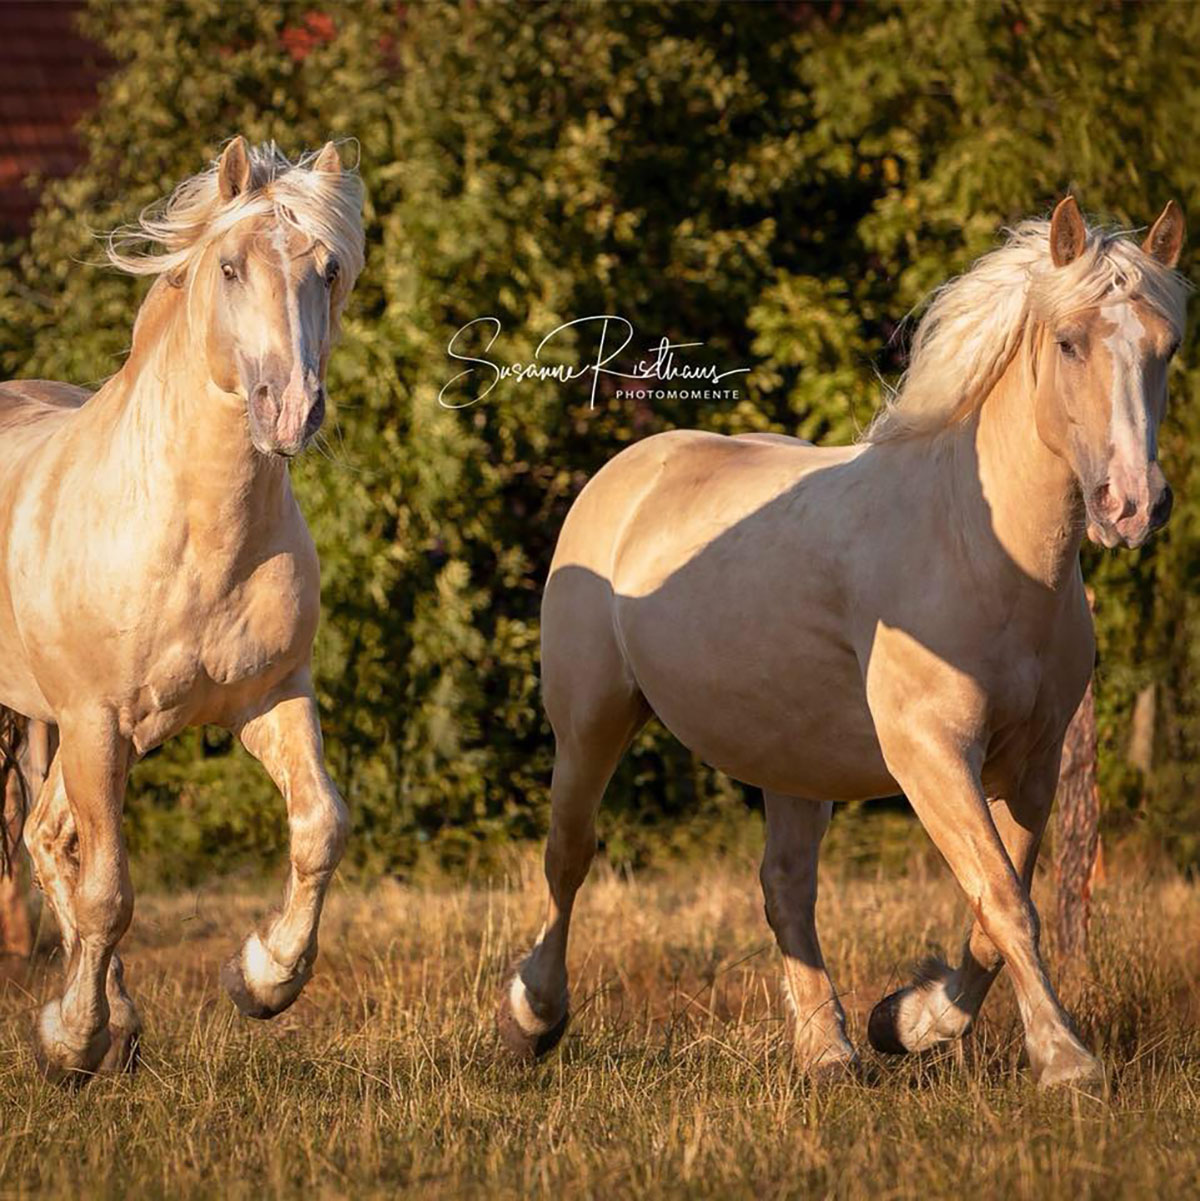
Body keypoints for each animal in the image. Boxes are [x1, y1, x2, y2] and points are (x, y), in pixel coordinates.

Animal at [0, 136, 362, 1085]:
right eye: (229, 267)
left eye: (329, 268)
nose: (290, 409)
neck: (194, 534)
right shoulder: (97, 721)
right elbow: (109, 892)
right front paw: (72, 1042)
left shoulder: (271, 698)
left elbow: (319, 826)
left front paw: (263, 978)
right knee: (59, 848)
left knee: (48, 835)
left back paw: (121, 1023)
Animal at [502, 196, 1186, 1090]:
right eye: (1070, 340)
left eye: (1168, 347)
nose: (1132, 504)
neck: (975, 545)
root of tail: (630, 469)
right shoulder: (931, 752)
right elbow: (1003, 898)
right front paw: (1066, 1060)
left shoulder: (1033, 766)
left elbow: (992, 909)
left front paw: (906, 1021)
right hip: (591, 722)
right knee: (569, 854)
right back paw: (534, 1016)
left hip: (790, 756)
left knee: (785, 885)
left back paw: (826, 1049)